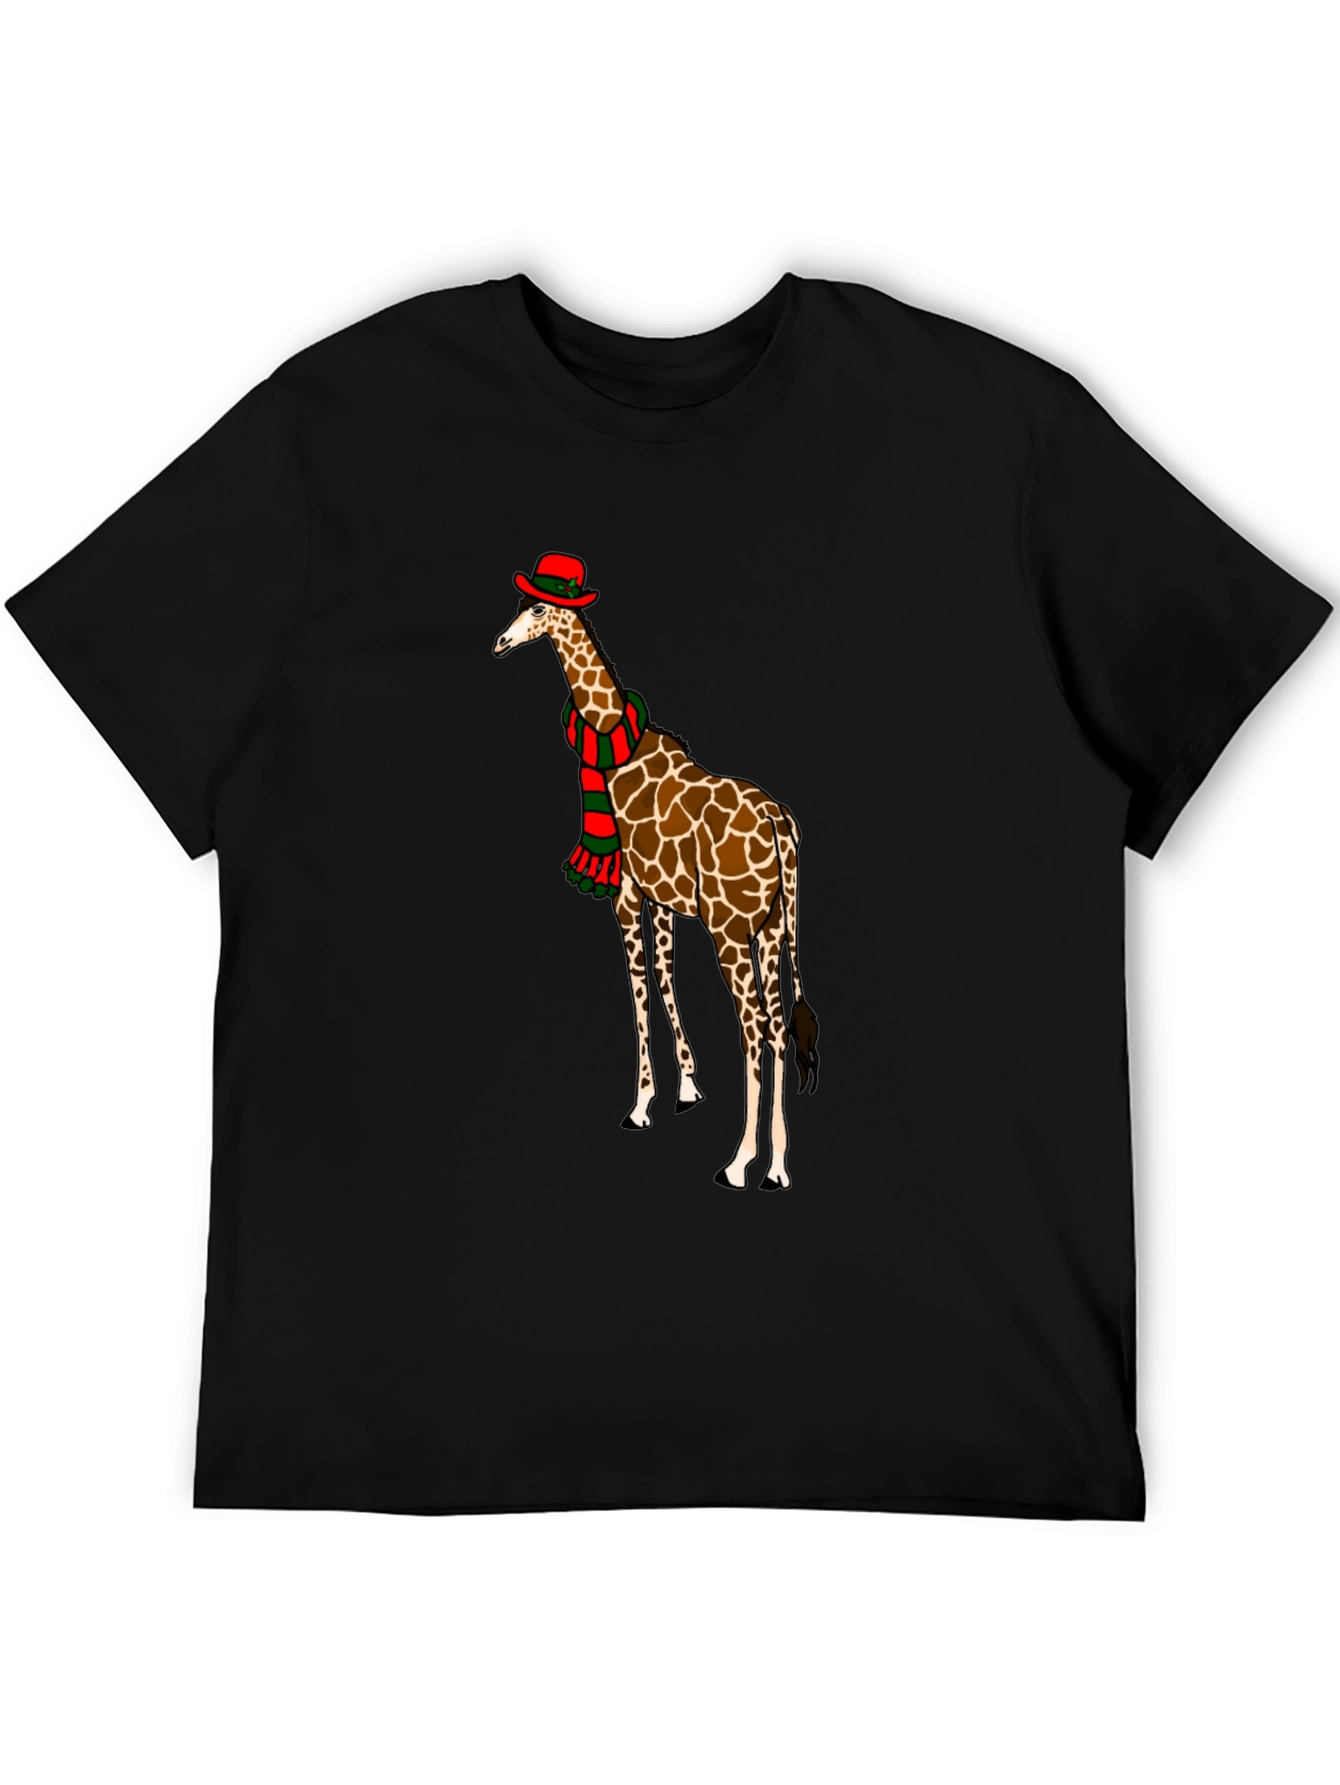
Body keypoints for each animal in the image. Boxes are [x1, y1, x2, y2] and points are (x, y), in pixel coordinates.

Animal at [494, 561, 819, 1189]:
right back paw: (778, 1164)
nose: (500, 641)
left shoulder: (626, 892)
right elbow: (666, 977)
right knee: (778, 1028)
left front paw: (642, 1104)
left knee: (755, 1030)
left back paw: (740, 1161)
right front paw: (687, 1085)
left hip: (731, 930)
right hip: (772, 927)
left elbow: (639, 983)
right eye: (521, 604)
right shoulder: (664, 898)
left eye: (539, 608)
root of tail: (779, 822)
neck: (616, 750)